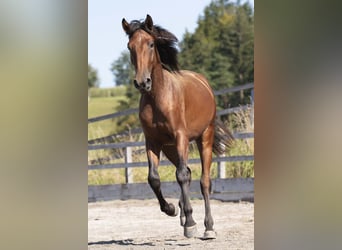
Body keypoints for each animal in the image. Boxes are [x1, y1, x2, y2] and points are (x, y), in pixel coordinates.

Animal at [121, 14, 234, 239]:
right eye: (130, 47)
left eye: (151, 44)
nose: (142, 82)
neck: (158, 97)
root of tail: (203, 82)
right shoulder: (153, 142)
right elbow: (154, 178)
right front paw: (172, 209)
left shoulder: (181, 136)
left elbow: (181, 176)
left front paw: (191, 223)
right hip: (170, 148)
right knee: (188, 172)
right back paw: (183, 214)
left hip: (203, 138)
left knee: (203, 181)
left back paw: (208, 227)